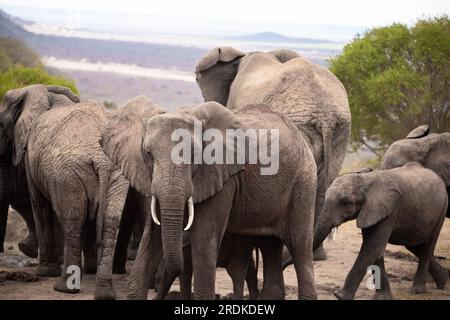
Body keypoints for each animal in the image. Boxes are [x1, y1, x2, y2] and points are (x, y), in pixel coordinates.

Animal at [103, 102, 316, 300]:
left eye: (194, 155)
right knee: (269, 243)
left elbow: (204, 239)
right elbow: (152, 238)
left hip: (303, 183)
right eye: (148, 154)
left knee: (299, 245)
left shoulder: (222, 179)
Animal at [314, 162, 448, 300]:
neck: (365, 179)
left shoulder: (390, 210)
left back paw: (419, 291)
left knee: (427, 246)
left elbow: (373, 247)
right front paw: (382, 297)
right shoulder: (371, 212)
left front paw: (340, 296)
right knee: (414, 245)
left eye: (346, 202)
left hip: (442, 207)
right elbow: (374, 250)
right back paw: (443, 280)